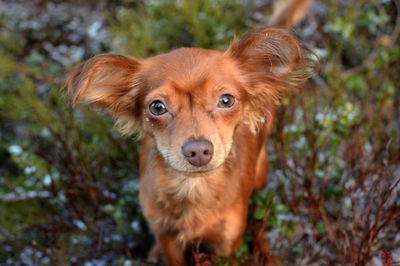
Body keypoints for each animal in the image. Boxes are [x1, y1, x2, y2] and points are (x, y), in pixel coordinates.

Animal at [65, 1, 314, 264]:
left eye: (226, 100)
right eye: (157, 107)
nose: (198, 150)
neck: (192, 188)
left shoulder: (226, 244)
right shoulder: (167, 237)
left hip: (260, 172)